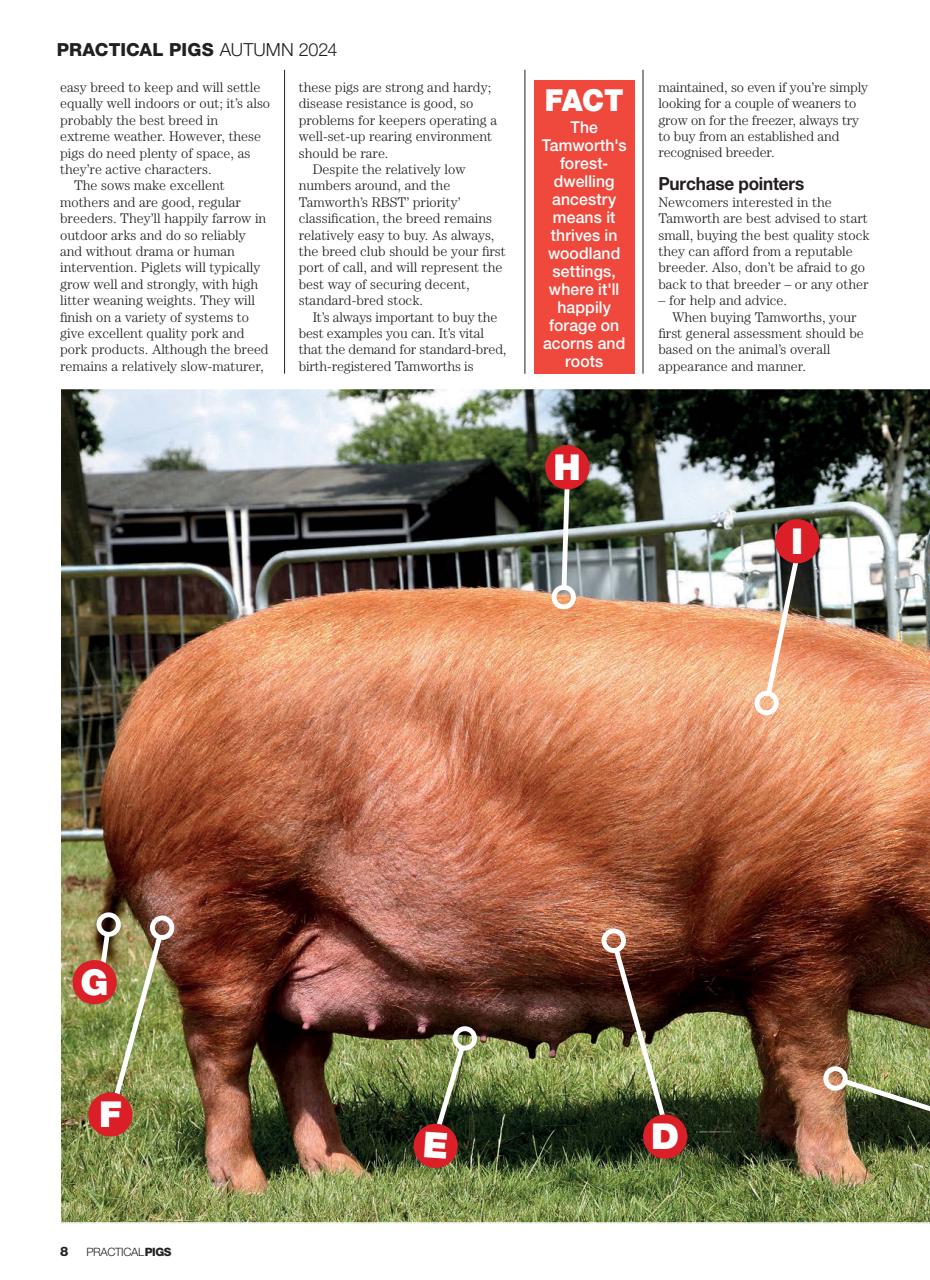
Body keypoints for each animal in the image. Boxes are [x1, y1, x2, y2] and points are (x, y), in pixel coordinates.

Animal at [101, 589, 930, 1191]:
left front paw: (776, 1145)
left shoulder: (766, 958)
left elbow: (774, 1058)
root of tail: (139, 718)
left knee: (293, 1046)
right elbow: (818, 1061)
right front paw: (848, 1181)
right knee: (219, 1053)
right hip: (224, 911)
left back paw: (343, 1174)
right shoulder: (802, 932)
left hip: (305, 935)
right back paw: (246, 1186)